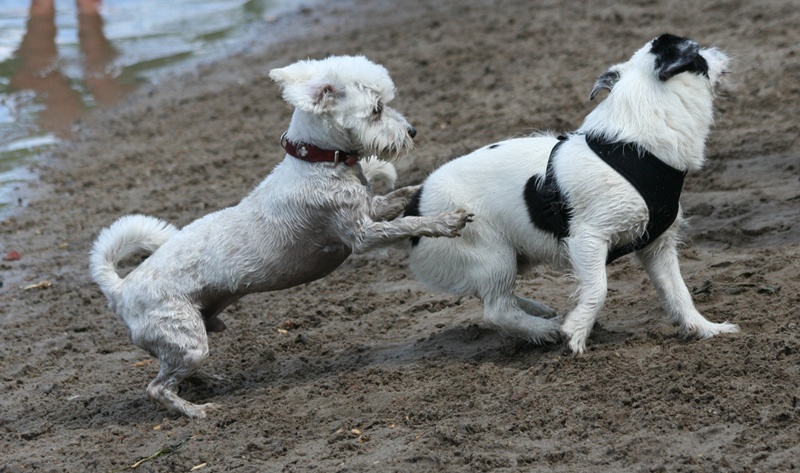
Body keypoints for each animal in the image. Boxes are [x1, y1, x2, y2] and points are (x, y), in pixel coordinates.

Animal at [90, 56, 472, 416]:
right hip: (186, 339)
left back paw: (210, 380)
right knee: (156, 388)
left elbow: (404, 194)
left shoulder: (372, 208)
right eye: (377, 110)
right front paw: (446, 221)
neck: (319, 163)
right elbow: (408, 224)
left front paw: (423, 188)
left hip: (190, 338)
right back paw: (195, 411)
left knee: (177, 374)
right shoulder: (362, 235)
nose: (412, 131)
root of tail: (120, 289)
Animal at [410, 35, 740, 352]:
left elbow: (678, 291)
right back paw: (545, 329)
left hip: (509, 259)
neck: (637, 149)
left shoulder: (657, 245)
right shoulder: (588, 239)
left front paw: (704, 328)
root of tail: (415, 203)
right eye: (699, 52)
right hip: (493, 255)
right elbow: (599, 288)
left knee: (496, 299)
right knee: (496, 310)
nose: (720, 51)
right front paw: (576, 331)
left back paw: (541, 314)